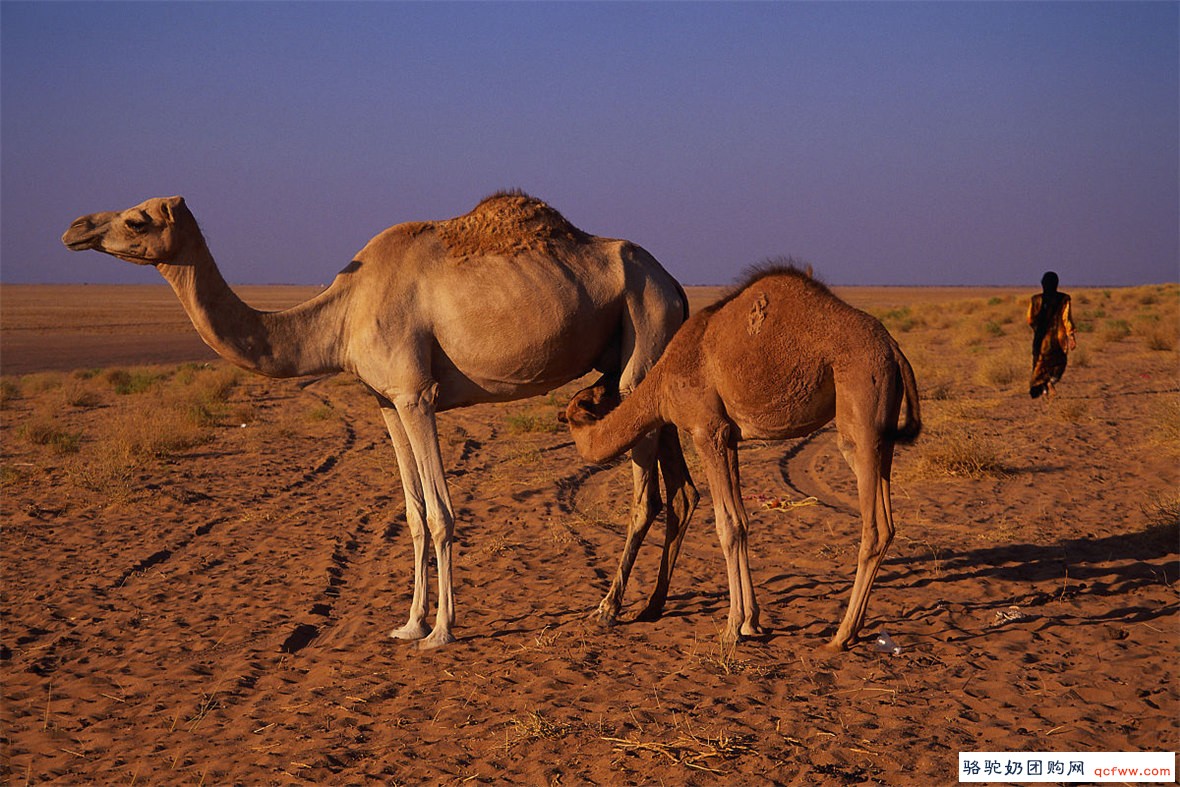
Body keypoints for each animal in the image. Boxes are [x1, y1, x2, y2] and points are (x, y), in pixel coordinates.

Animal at [59, 193, 693, 651]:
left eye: (137, 219)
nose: (75, 228)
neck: (340, 314)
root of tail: (678, 286)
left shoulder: (415, 394)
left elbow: (439, 513)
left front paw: (441, 633)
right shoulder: (385, 401)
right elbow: (411, 514)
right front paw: (409, 624)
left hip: (641, 336)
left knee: (647, 495)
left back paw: (608, 609)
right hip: (650, 361)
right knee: (681, 490)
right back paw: (652, 607)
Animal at [561, 266, 920, 651]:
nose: (600, 380)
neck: (663, 381)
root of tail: (894, 349)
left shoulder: (707, 430)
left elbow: (727, 525)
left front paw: (733, 626)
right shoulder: (729, 438)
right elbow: (743, 521)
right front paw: (752, 622)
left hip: (860, 404)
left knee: (874, 524)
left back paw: (841, 634)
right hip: (883, 431)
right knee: (887, 516)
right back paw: (851, 629)